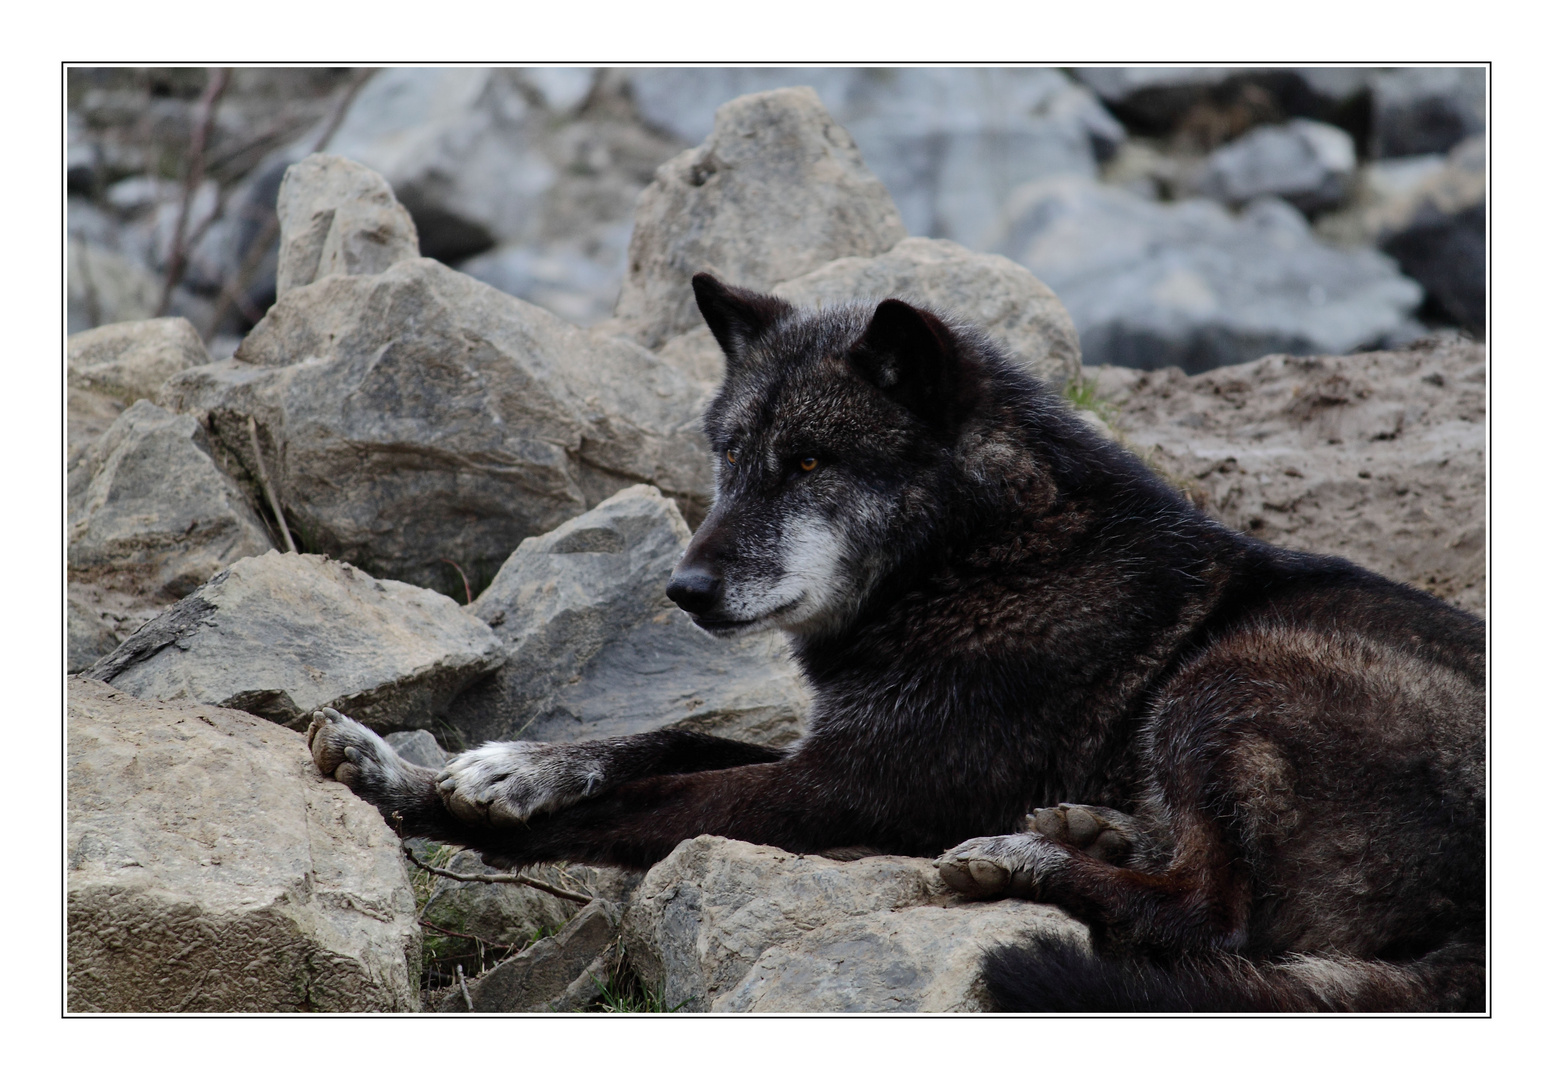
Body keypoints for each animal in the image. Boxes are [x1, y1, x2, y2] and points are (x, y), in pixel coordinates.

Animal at [309, 271, 1484, 1013]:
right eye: (729, 454)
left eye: (810, 465)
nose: (683, 589)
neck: (974, 558)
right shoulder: (834, 749)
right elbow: (663, 741)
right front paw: (505, 764)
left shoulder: (846, 789)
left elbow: (650, 798)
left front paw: (421, 791)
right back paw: (1085, 830)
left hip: (1231, 678)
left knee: (1214, 918)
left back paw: (1028, 857)